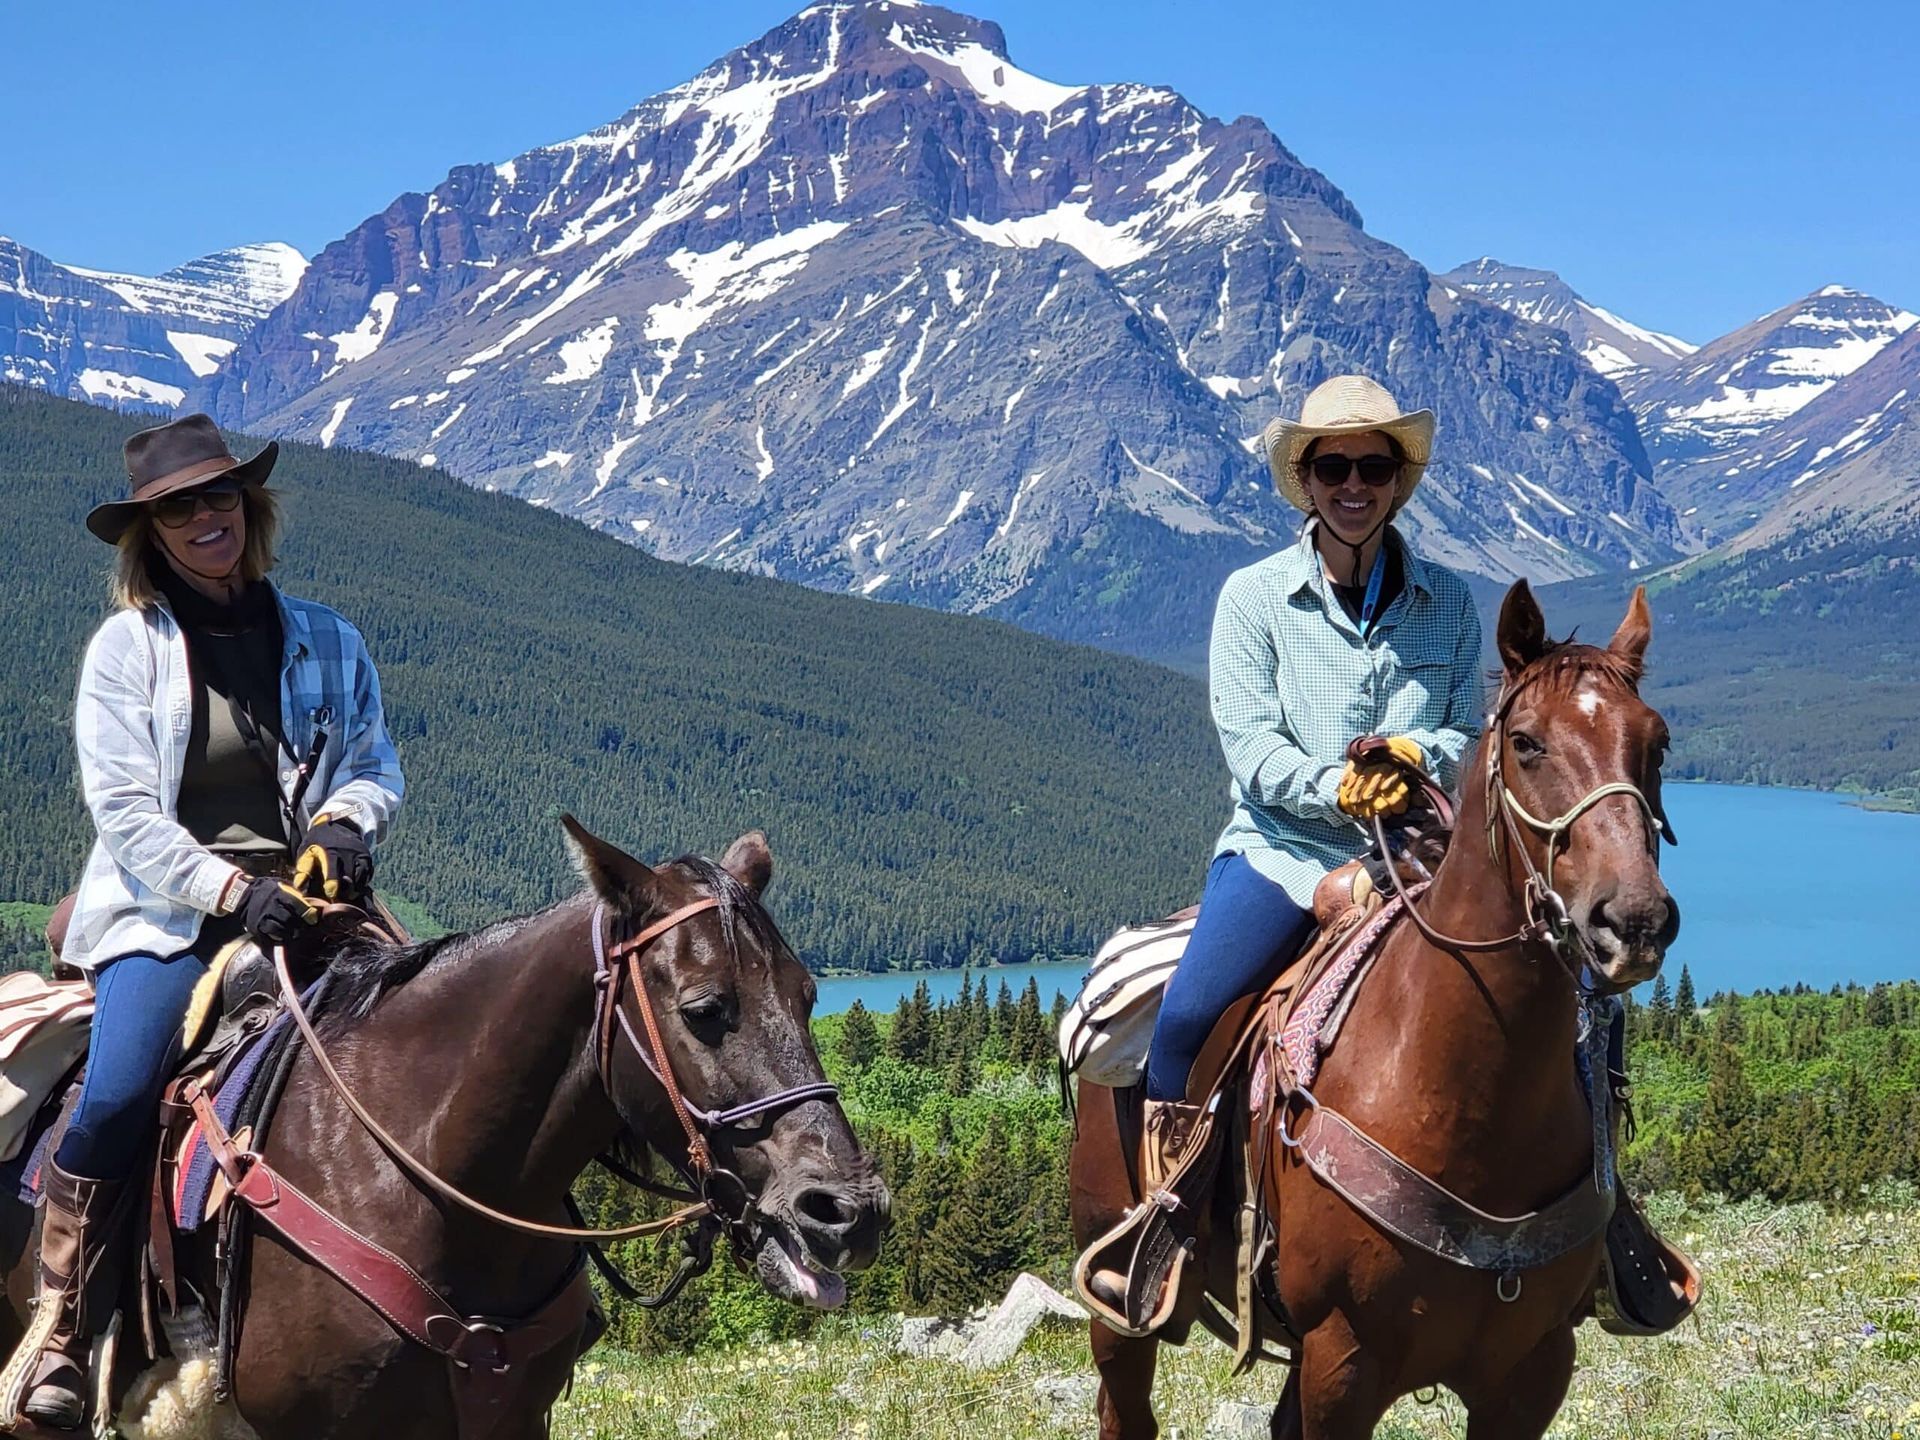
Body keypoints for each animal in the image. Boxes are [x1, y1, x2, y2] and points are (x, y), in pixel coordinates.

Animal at [1075, 587, 1689, 1440]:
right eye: (1527, 742)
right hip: (1119, 1304)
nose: (1632, 921)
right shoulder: (1345, 1361)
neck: (1466, 1099)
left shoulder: (1534, 1371)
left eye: (1656, 742)